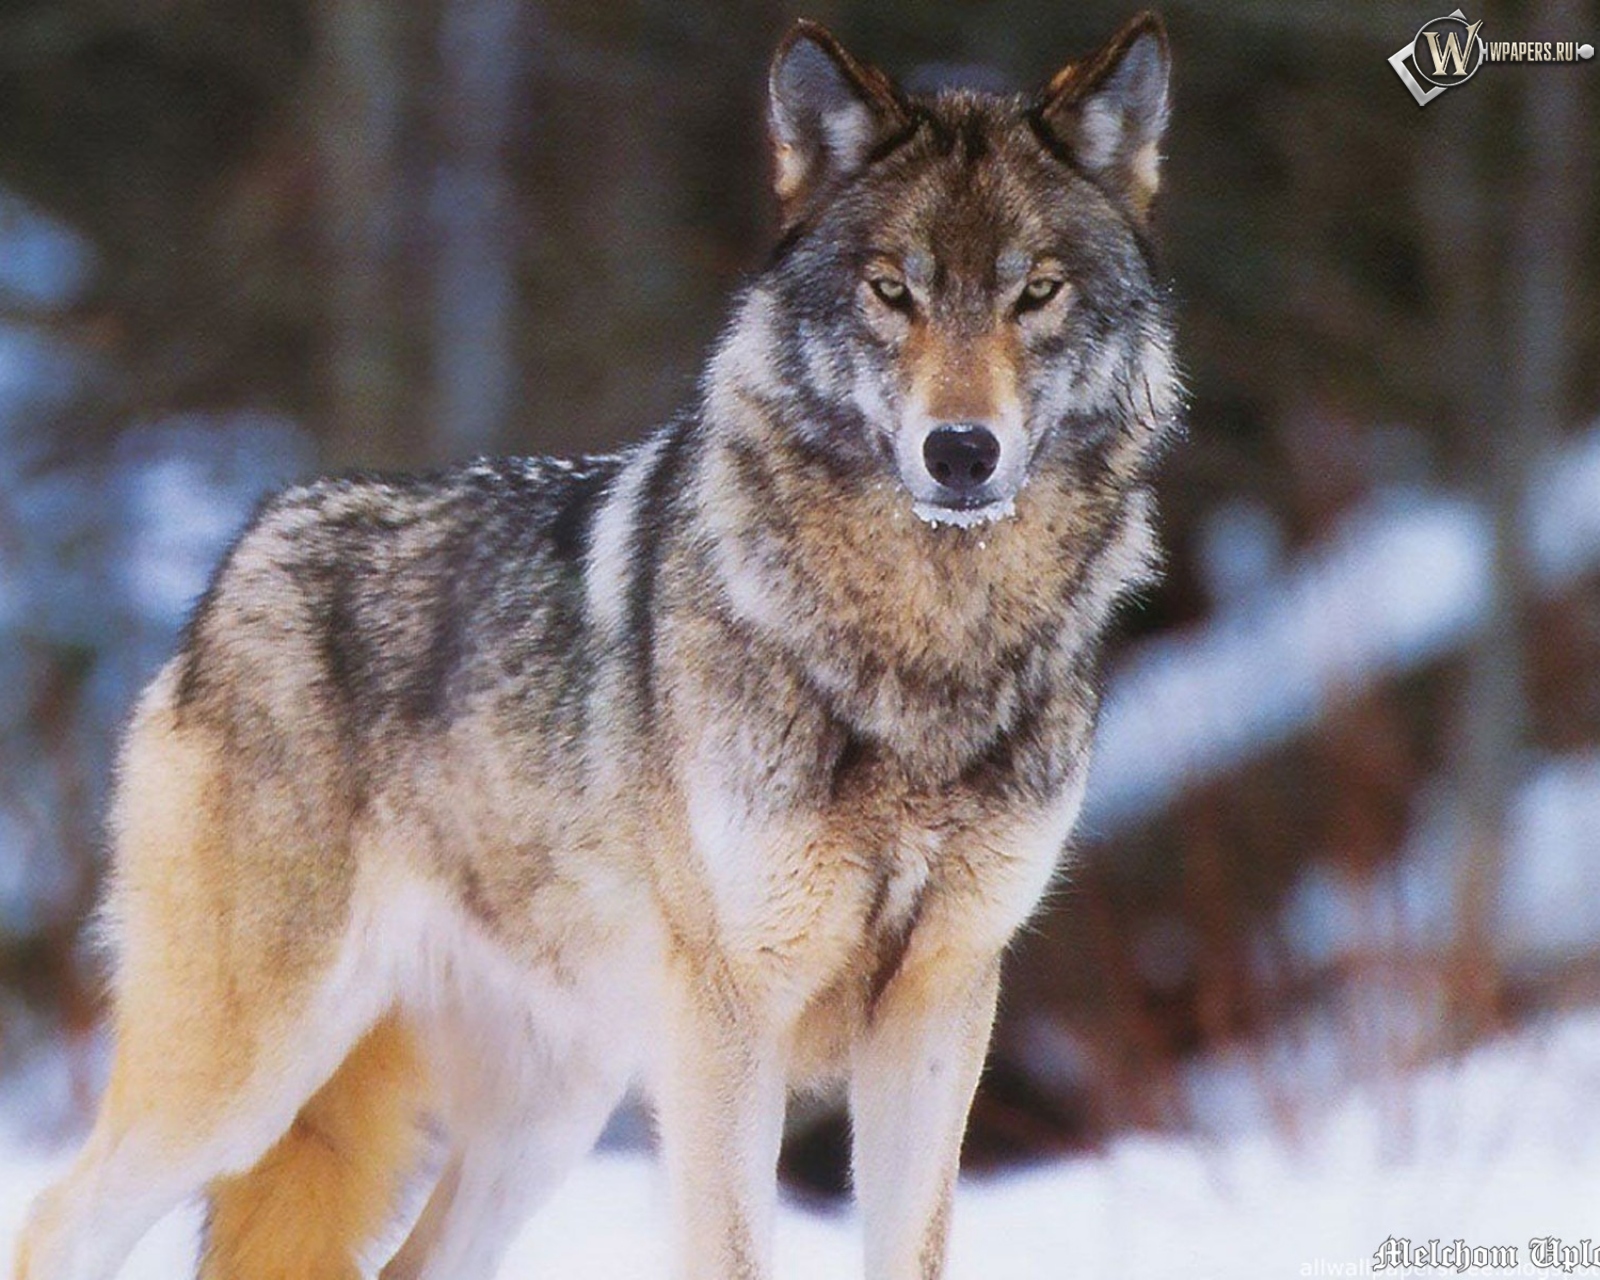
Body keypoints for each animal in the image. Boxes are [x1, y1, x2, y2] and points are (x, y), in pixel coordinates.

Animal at [15, 12, 1177, 1280]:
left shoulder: (942, 1004)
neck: (925, 648)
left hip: (547, 1112)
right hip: (243, 1082)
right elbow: (733, 1252)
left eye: (1036, 293)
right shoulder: (730, 1018)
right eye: (890, 291)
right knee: (52, 1222)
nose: (961, 452)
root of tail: (245, 550)